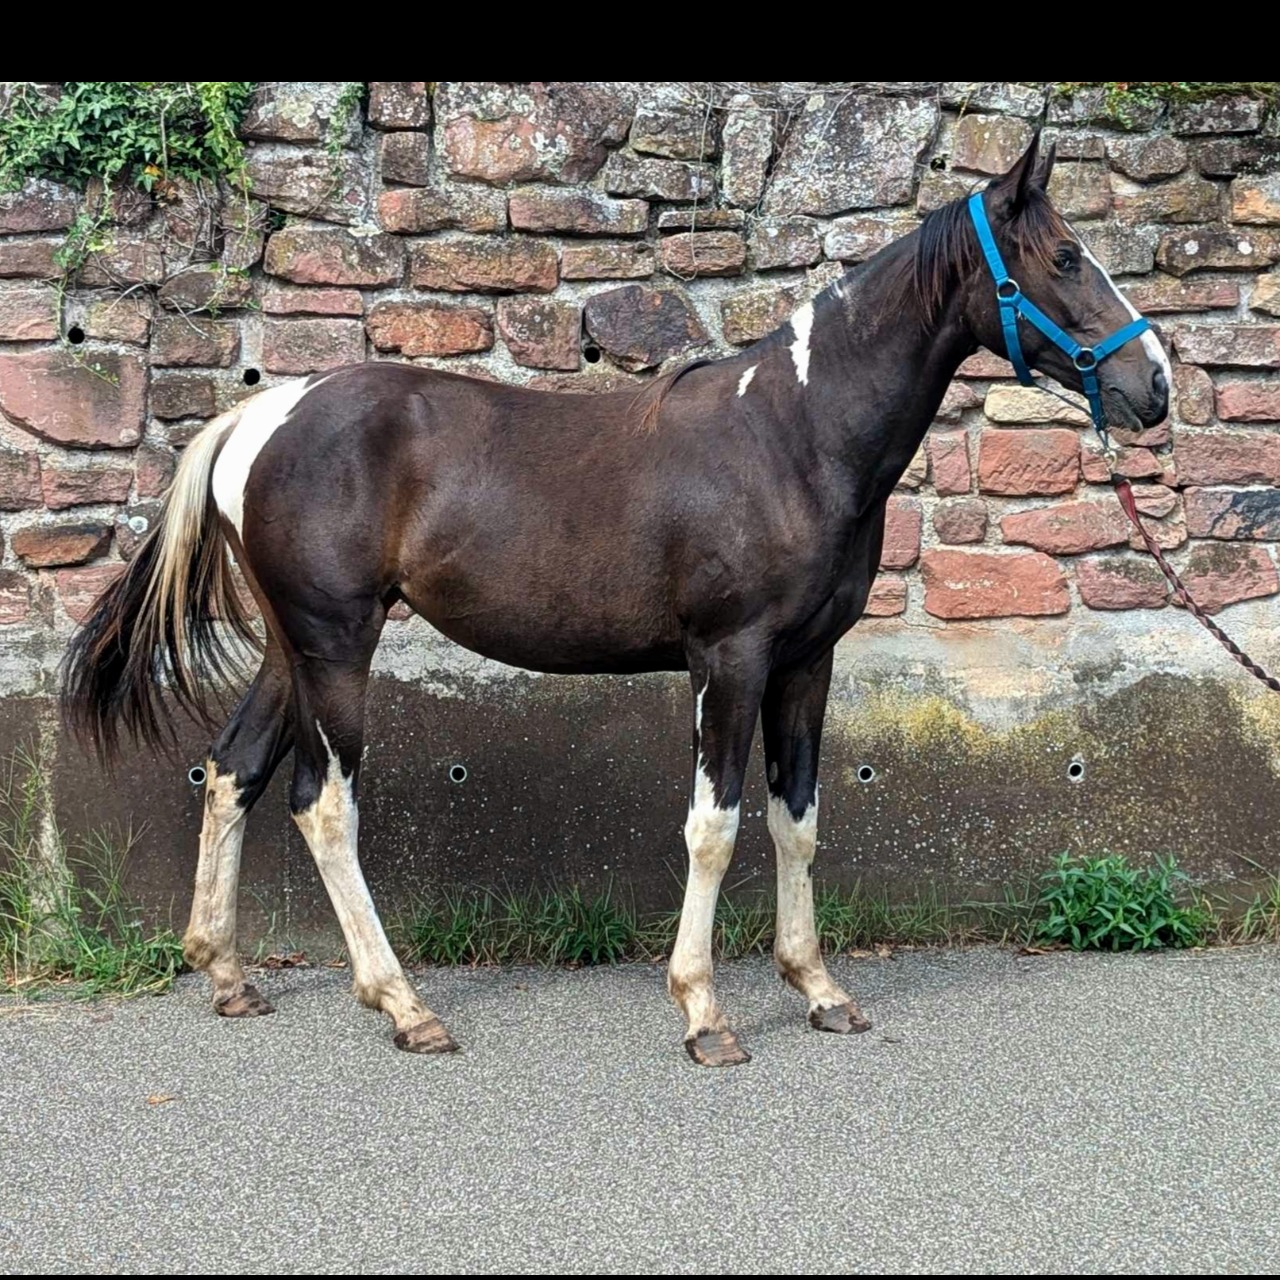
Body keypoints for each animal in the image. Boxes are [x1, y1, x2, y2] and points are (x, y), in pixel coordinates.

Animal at [67, 135, 1172, 1064]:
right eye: (1065, 256)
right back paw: (404, 1004)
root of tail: (265, 413)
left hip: (290, 648)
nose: (1155, 383)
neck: (793, 433)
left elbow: (797, 821)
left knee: (232, 770)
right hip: (337, 645)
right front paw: (704, 1011)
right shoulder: (728, 656)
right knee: (322, 801)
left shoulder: (805, 662)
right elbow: (714, 826)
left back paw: (226, 973)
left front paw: (818, 988)